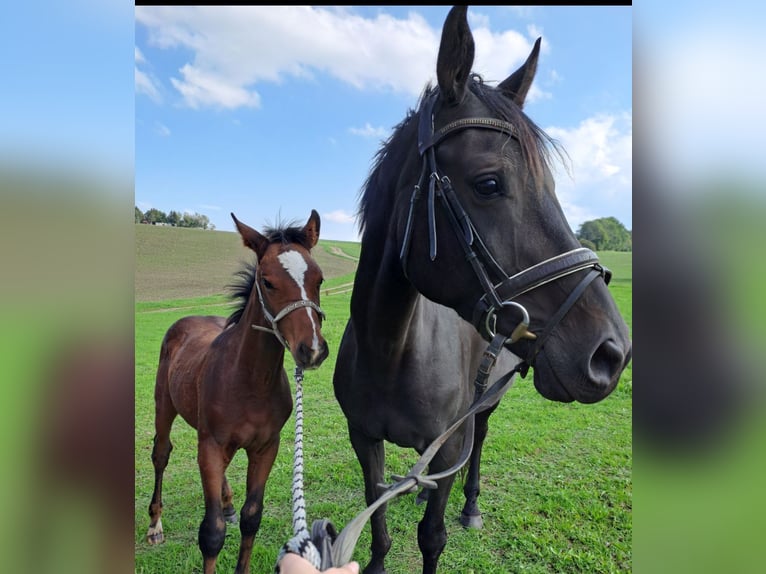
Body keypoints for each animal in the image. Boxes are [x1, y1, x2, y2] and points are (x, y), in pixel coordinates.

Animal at [332, 5, 632, 574]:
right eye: (489, 183)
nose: (612, 353)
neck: (390, 348)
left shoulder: (452, 445)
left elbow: (432, 538)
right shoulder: (364, 440)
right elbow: (376, 523)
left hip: (487, 401)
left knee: (481, 442)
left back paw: (469, 506)